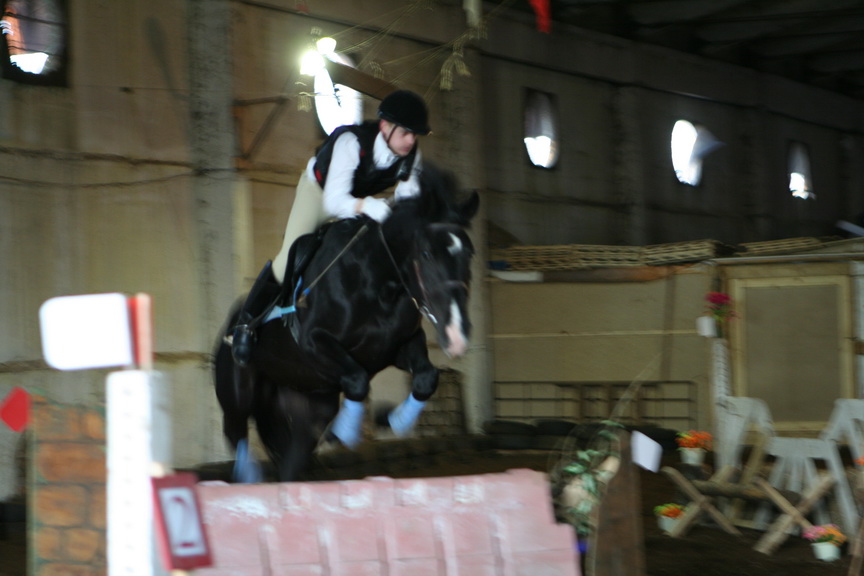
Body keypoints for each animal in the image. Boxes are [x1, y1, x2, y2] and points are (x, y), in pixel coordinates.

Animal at [213, 164, 479, 482]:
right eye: (426, 254)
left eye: (469, 253)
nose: (457, 337)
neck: (378, 282)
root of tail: (227, 329)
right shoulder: (314, 341)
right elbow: (357, 380)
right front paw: (347, 433)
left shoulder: (399, 346)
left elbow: (426, 378)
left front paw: (392, 420)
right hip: (237, 390)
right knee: (235, 429)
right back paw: (249, 473)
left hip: (310, 406)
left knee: (291, 458)